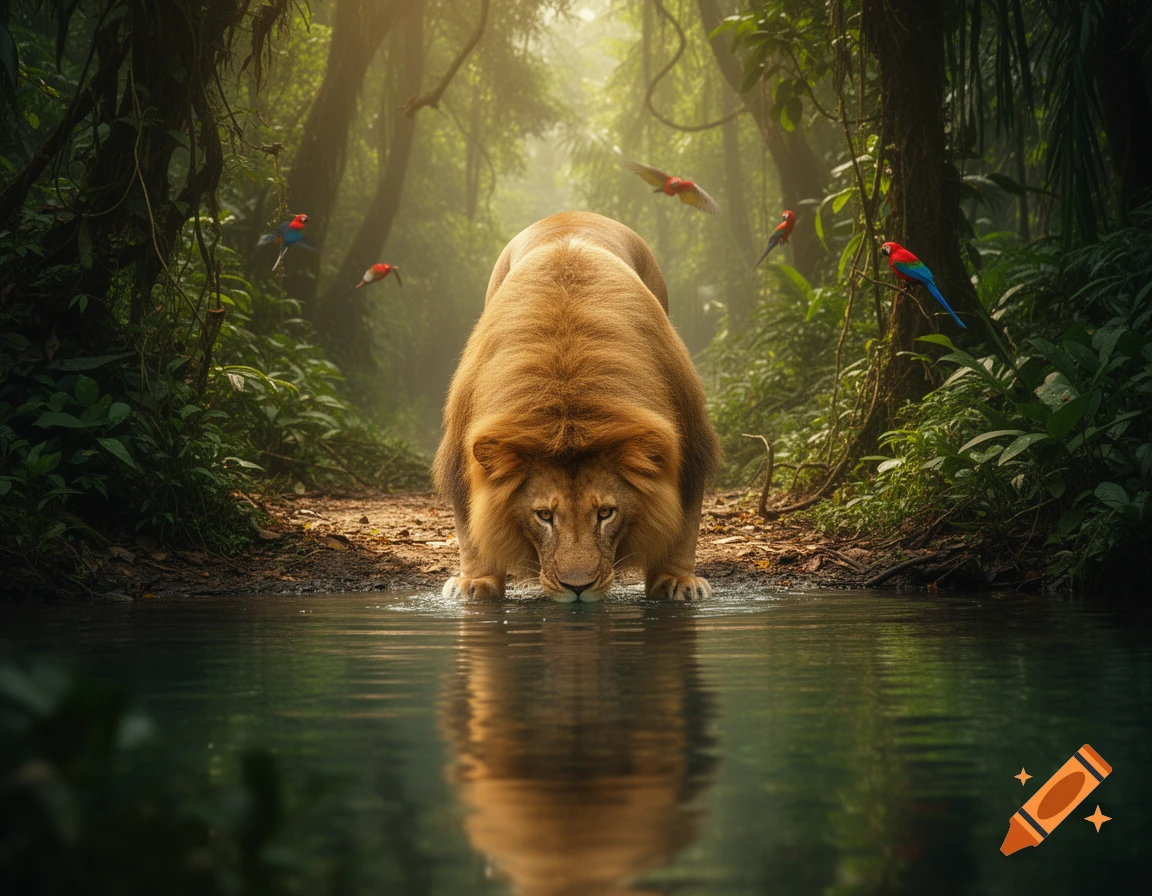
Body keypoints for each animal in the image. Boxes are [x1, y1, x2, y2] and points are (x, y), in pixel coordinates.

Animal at [432, 211, 721, 602]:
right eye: (544, 516)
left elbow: (685, 522)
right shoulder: (463, 451)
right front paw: (474, 584)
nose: (578, 587)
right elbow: (470, 526)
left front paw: (677, 581)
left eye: (605, 512)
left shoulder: (689, 440)